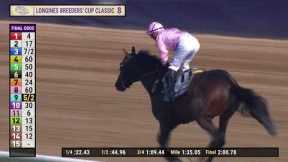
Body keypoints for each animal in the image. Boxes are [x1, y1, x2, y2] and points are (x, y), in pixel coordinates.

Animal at [114, 46, 276, 161]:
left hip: (203, 117)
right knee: (220, 139)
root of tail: (231, 83)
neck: (158, 80)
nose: (117, 85)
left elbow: (162, 144)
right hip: (225, 115)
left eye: (122, 66)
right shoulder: (172, 123)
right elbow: (163, 144)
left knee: (217, 137)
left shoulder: (166, 122)